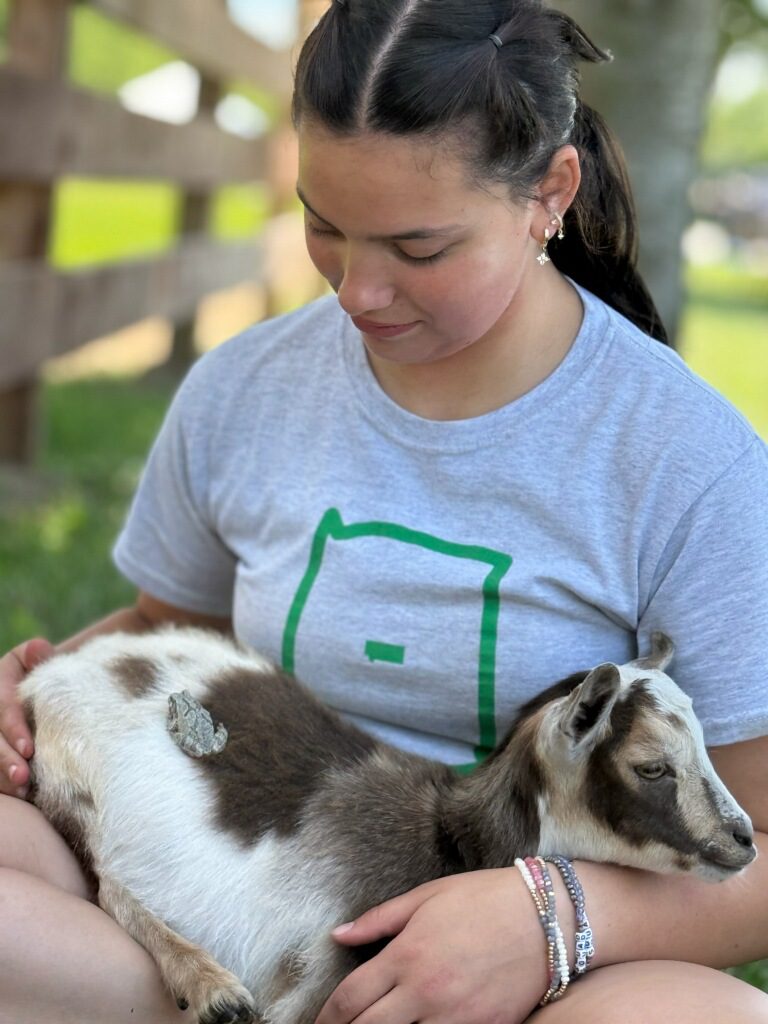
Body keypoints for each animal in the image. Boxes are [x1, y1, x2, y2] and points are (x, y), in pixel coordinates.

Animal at [19, 627, 756, 1024]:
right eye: (651, 767)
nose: (743, 840)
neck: (451, 843)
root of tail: (47, 674)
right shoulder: (318, 979)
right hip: (70, 774)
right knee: (108, 881)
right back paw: (213, 990)